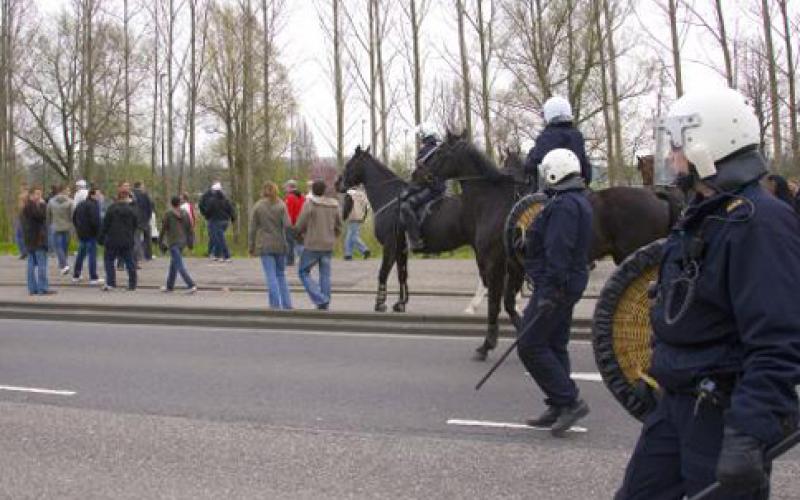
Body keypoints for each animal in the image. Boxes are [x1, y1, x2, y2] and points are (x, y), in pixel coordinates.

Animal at [340, 145, 520, 356]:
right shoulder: (401, 248)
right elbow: (402, 275)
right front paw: (400, 303)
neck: (391, 198)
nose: (337, 183)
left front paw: (380, 302)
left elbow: (383, 273)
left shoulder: (391, 245)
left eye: (350, 164)